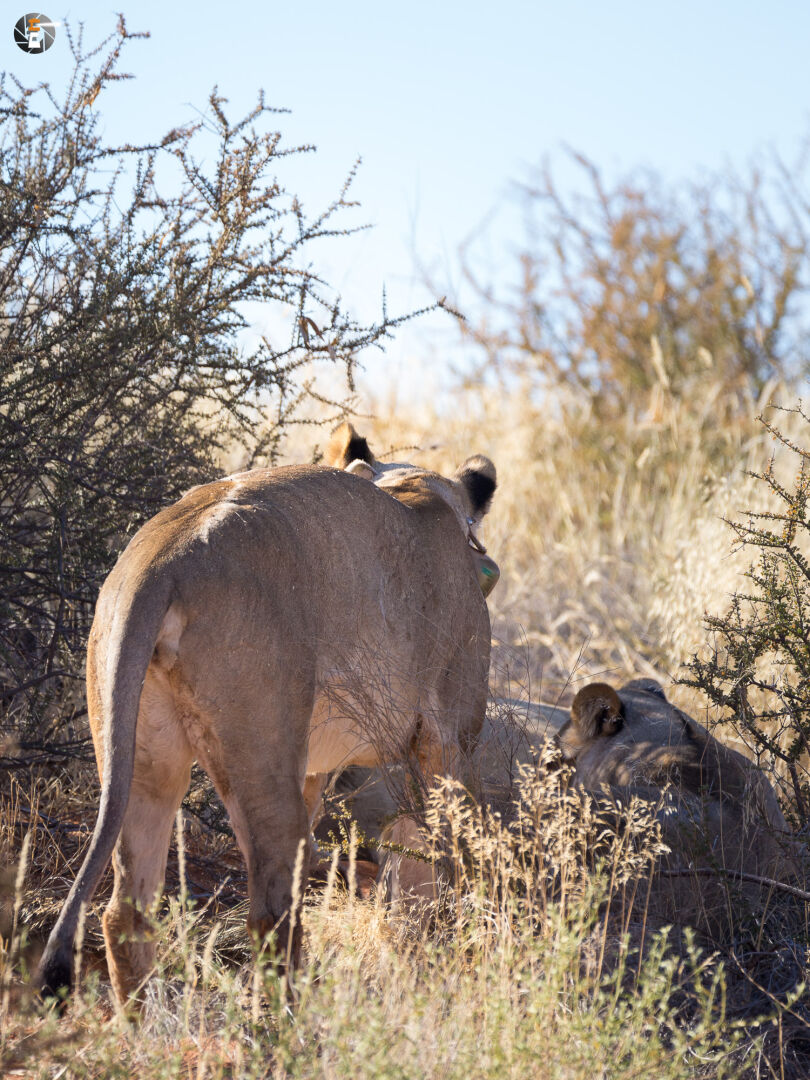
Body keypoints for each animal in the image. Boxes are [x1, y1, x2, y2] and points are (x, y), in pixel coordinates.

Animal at [38, 423, 497, 1004]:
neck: (413, 485)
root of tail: (160, 559)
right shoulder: (447, 739)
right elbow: (452, 859)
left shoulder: (317, 766)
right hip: (263, 748)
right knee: (270, 915)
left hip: (142, 753)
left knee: (127, 913)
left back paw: (140, 1023)